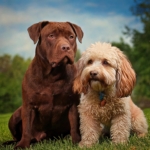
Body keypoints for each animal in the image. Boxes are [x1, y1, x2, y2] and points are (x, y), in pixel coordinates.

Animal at [8, 21, 83, 149]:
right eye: (51, 36)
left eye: (71, 37)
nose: (66, 47)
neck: (52, 75)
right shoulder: (28, 106)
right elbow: (26, 129)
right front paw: (22, 145)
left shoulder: (73, 104)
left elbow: (74, 125)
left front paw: (76, 141)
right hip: (15, 116)